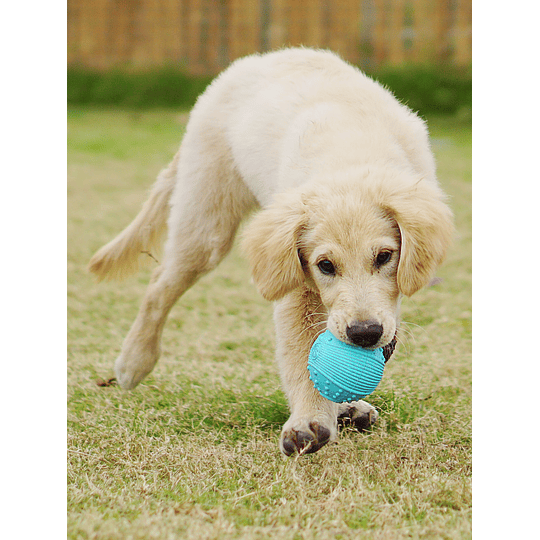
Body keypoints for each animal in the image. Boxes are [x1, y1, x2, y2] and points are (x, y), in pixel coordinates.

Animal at [87, 49, 452, 456]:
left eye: (385, 257)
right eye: (325, 265)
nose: (364, 334)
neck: (349, 160)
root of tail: (255, 59)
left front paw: (335, 405)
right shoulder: (296, 279)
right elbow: (301, 351)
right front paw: (308, 420)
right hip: (207, 222)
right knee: (159, 284)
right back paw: (133, 362)